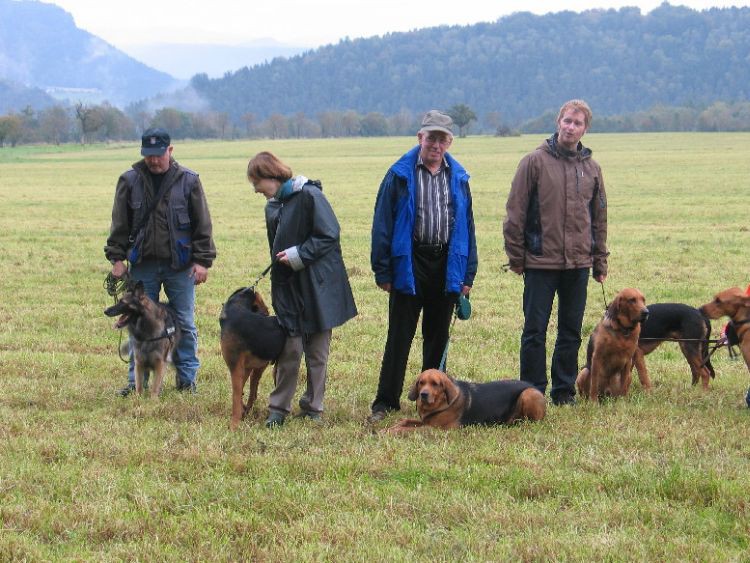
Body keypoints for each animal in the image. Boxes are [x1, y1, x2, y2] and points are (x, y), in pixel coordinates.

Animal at [220, 286, 288, 432]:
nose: (267, 312)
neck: (235, 307)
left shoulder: (236, 367)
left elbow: (236, 395)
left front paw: (234, 425)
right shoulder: (246, 367)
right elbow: (242, 392)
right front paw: (242, 412)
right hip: (263, 369)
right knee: (253, 391)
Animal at [388, 368, 548, 434]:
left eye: (435, 384)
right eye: (421, 382)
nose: (423, 395)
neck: (441, 403)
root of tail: (535, 387)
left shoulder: (436, 428)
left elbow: (406, 429)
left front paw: (392, 432)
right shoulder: (425, 421)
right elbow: (404, 422)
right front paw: (387, 429)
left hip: (528, 394)